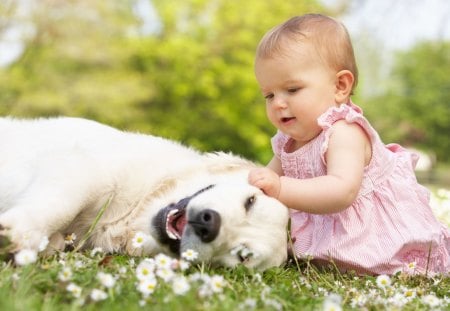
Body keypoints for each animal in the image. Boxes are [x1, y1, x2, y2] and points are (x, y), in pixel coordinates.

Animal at [0, 117, 288, 270]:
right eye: (250, 201)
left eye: (242, 255)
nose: (209, 224)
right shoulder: (85, 166)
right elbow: (62, 204)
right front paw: (19, 233)